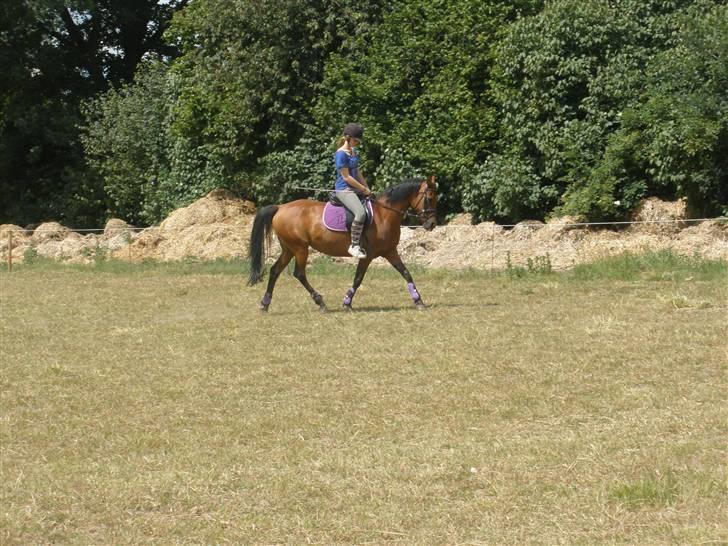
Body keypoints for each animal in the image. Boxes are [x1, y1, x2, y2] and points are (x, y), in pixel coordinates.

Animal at [247, 177, 437, 312]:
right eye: (429, 198)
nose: (432, 224)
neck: (384, 214)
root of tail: (280, 207)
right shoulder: (368, 255)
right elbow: (358, 278)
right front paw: (346, 302)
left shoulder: (390, 251)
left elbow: (406, 273)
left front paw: (418, 301)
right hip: (300, 248)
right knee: (299, 273)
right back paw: (320, 302)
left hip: (289, 249)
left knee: (275, 271)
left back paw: (265, 304)